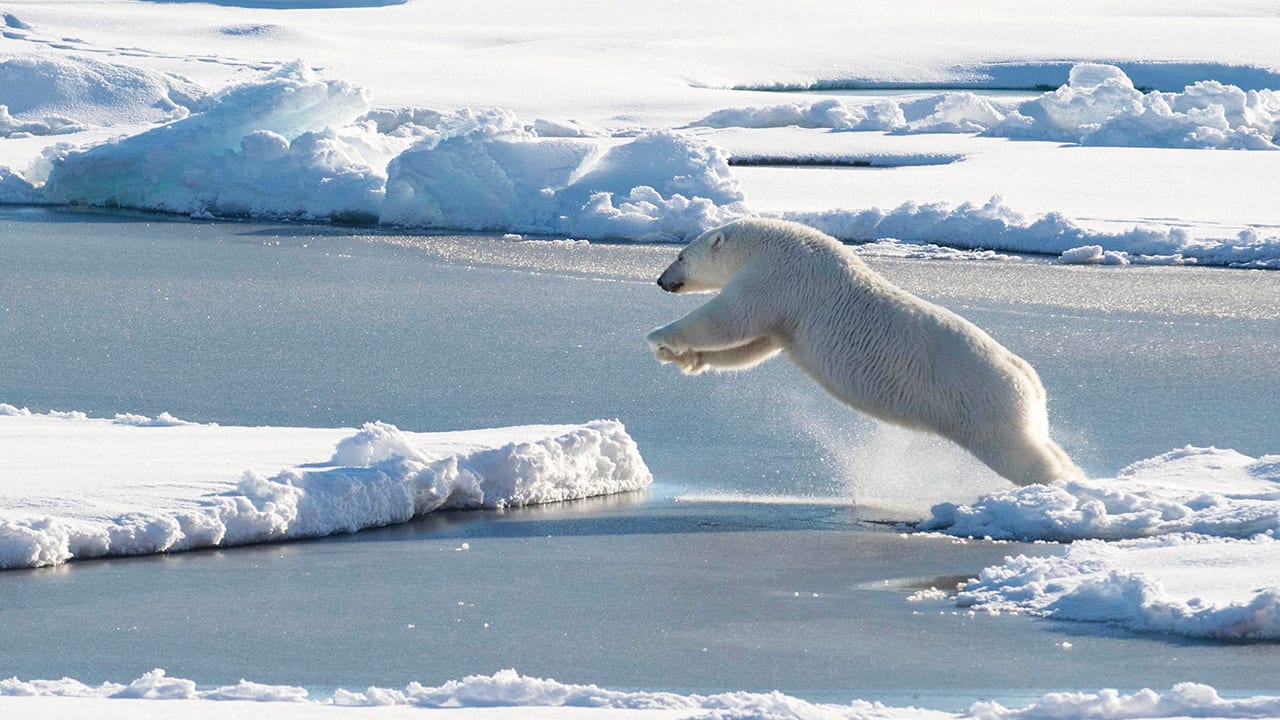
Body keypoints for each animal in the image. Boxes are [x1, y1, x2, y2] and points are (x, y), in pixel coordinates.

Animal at [650, 219, 1080, 484]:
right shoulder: (786, 312)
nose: (660, 280)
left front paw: (659, 336)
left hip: (982, 403)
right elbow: (754, 346)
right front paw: (684, 358)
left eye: (680, 256)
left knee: (1019, 455)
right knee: (1040, 441)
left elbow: (730, 319)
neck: (767, 244)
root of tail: (1029, 379)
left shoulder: (779, 277)